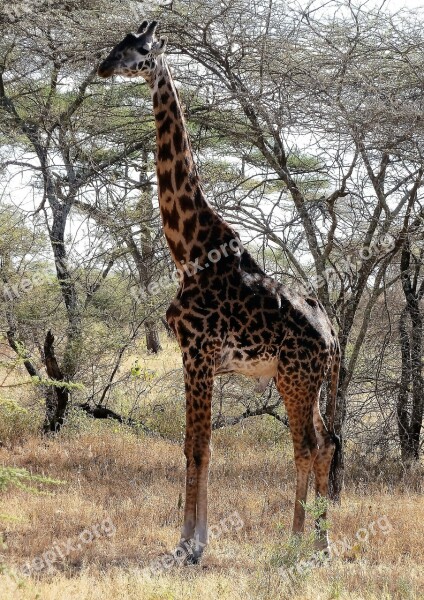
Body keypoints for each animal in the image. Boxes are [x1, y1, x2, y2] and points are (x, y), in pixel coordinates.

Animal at [97, 19, 340, 564]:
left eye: (140, 49)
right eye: (118, 43)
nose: (103, 66)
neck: (188, 250)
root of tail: (334, 339)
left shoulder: (197, 353)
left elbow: (199, 447)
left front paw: (189, 546)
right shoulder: (198, 358)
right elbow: (195, 446)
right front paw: (192, 541)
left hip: (294, 379)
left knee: (308, 445)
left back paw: (298, 539)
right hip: (306, 382)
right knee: (327, 443)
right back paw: (321, 543)